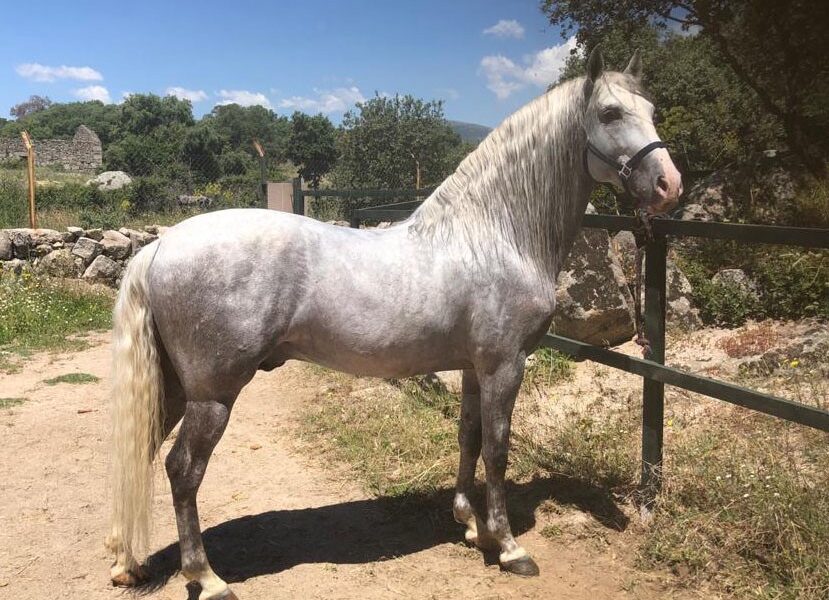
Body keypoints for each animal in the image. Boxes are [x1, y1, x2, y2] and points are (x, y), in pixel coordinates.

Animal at [107, 48, 682, 600]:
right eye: (610, 113)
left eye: (653, 110)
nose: (668, 184)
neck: (494, 233)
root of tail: (160, 247)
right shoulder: (505, 365)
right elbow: (498, 449)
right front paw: (508, 546)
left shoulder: (472, 367)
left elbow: (468, 437)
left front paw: (470, 524)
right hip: (213, 395)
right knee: (183, 471)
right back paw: (206, 577)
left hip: (174, 388)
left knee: (140, 456)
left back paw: (127, 563)